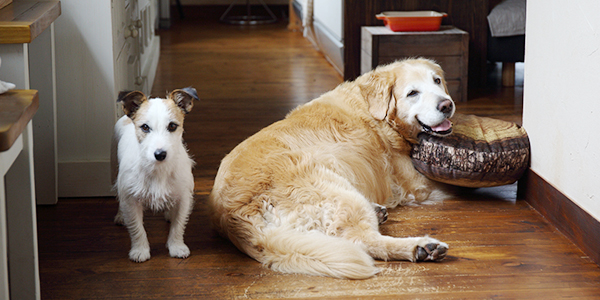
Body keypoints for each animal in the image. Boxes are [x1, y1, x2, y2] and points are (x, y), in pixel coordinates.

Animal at [112, 88, 197, 262]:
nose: (160, 154)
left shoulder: (184, 198)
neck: (159, 169)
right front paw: (140, 250)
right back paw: (120, 215)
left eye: (172, 126)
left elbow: (178, 225)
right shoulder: (131, 199)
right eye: (145, 127)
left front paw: (177, 247)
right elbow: (137, 228)